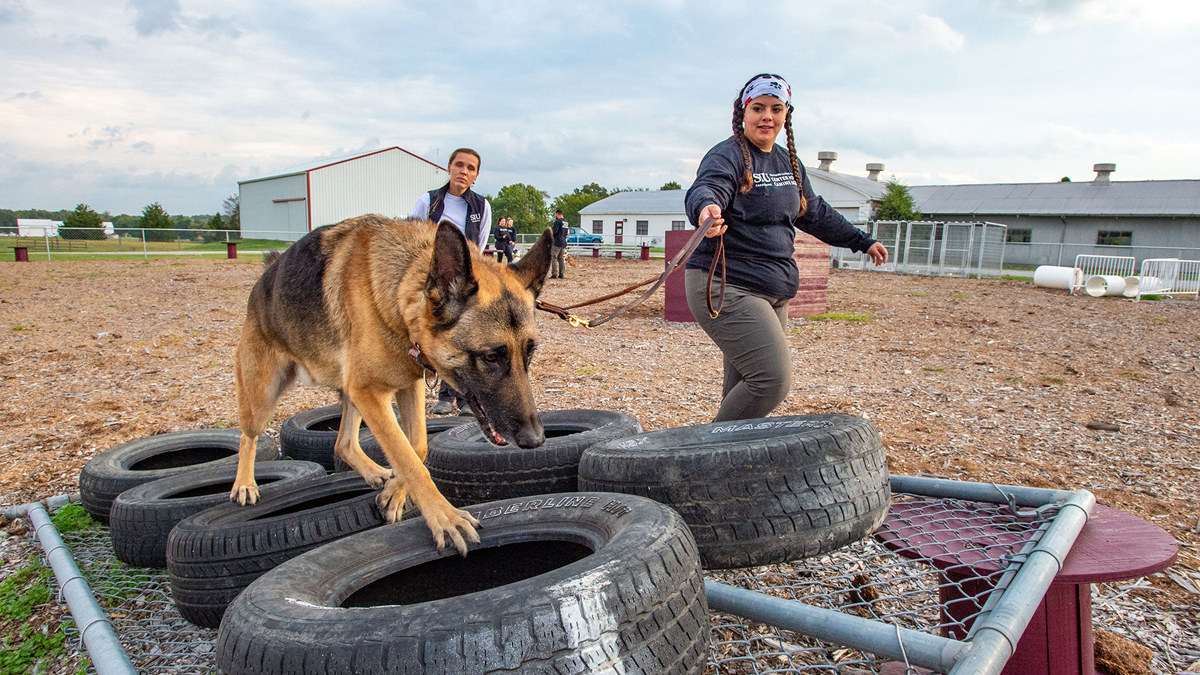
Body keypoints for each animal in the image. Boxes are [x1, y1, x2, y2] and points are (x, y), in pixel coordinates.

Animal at [229, 214, 552, 552]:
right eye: (490, 356)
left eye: (530, 352)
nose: (536, 440)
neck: (400, 294)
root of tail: (265, 278)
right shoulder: (372, 392)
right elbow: (406, 455)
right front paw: (445, 517)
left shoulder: (406, 385)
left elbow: (417, 447)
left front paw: (396, 491)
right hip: (264, 397)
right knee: (247, 437)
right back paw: (245, 484)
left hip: (352, 392)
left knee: (343, 443)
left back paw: (375, 474)